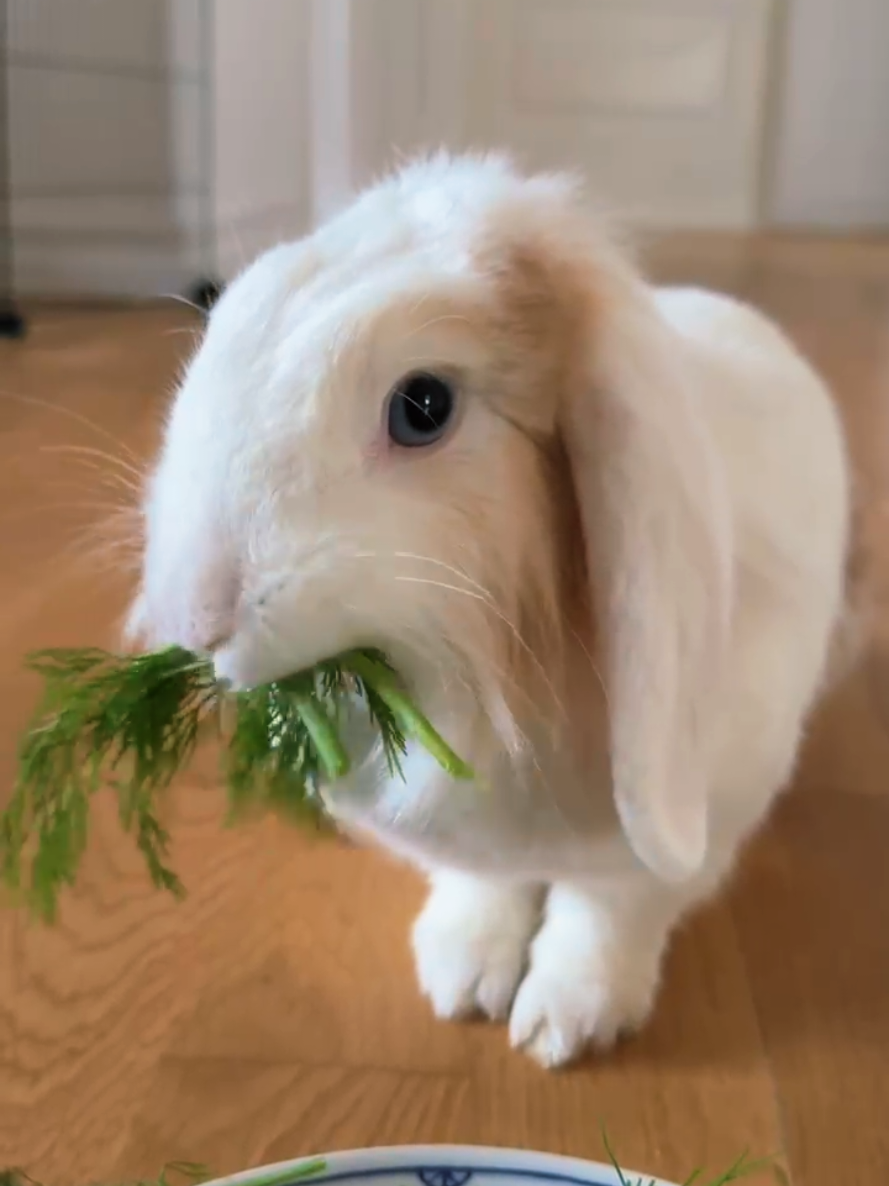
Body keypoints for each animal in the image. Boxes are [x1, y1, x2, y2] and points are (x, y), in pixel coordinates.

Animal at [128, 152, 854, 1068]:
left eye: (422, 406)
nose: (194, 619)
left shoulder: (673, 837)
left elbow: (607, 909)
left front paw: (562, 1027)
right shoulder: (471, 836)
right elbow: (487, 882)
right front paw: (462, 981)